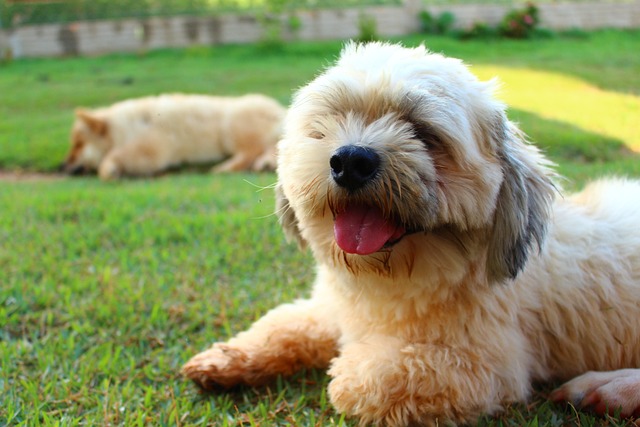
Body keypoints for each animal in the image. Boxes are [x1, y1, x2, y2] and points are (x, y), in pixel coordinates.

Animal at [64, 93, 284, 181]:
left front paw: (109, 169)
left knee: (250, 152)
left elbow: (114, 156)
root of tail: (280, 110)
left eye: (78, 145)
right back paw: (265, 164)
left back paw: (223, 168)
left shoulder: (152, 148)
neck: (125, 128)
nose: (63, 166)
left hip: (231, 128)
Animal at [180, 41, 640, 426]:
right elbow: (285, 326)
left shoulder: (490, 365)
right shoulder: (333, 309)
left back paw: (607, 389)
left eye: (423, 133)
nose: (351, 159)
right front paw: (228, 358)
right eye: (330, 123)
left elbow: (366, 378)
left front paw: (345, 370)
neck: (394, 277)